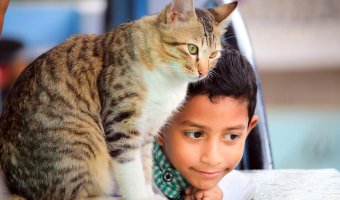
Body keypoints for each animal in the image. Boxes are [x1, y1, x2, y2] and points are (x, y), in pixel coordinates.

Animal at [0, 0, 236, 199]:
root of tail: (16, 187)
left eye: (213, 55)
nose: (203, 71)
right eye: (192, 48)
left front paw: (149, 193)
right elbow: (131, 172)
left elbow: (145, 168)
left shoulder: (147, 132)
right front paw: (140, 196)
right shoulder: (122, 125)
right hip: (79, 144)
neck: (168, 79)